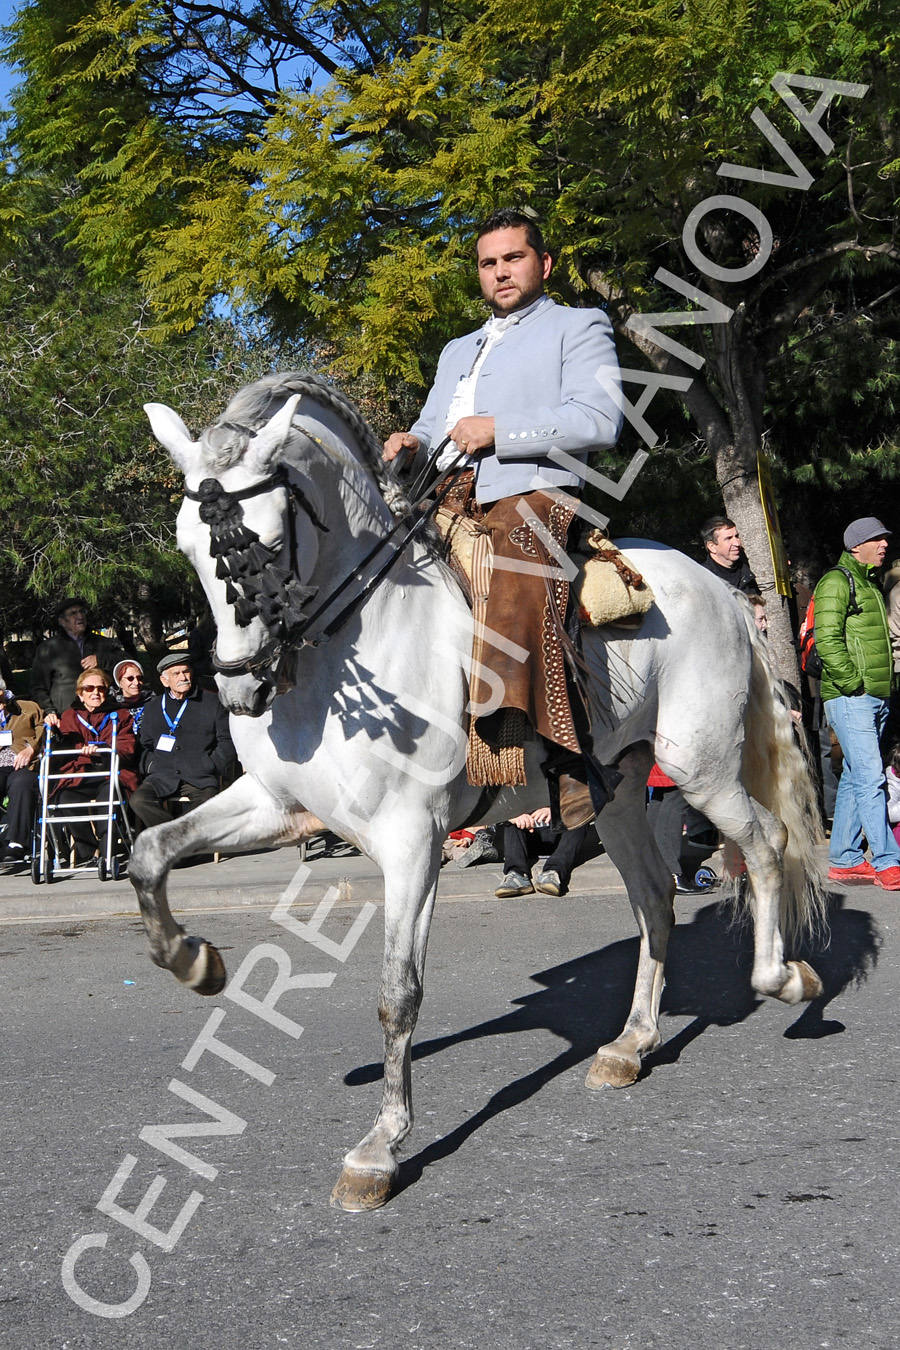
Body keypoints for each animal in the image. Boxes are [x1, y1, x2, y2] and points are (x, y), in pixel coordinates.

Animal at [132, 372, 825, 1215]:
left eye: (263, 546)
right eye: (187, 545)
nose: (239, 689)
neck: (356, 641)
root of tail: (721, 588)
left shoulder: (411, 840)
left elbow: (397, 992)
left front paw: (380, 1148)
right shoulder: (275, 806)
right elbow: (149, 851)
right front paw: (192, 960)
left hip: (700, 768)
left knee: (764, 842)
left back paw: (783, 979)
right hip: (621, 793)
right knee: (655, 901)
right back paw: (631, 1044)